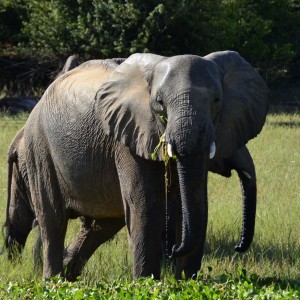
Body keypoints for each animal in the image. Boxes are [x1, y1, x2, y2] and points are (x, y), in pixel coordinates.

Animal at [2, 51, 270, 278]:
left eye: (217, 100)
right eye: (159, 103)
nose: (238, 247)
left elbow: (195, 203)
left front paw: (185, 284)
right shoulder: (127, 136)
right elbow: (146, 206)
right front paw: (147, 283)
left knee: (101, 226)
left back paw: (68, 276)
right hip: (39, 150)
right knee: (50, 219)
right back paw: (51, 280)